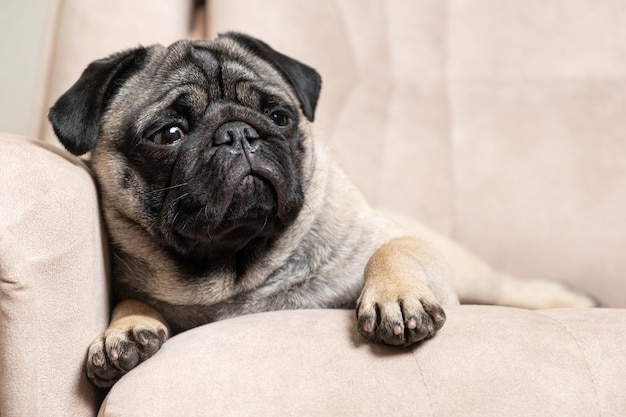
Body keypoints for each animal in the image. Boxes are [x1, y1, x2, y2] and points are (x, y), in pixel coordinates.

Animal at [47, 32, 596, 386]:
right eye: (169, 134)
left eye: (279, 116)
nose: (238, 132)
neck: (240, 271)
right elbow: (129, 302)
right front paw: (123, 330)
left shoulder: (398, 246)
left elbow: (394, 250)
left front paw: (396, 299)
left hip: (476, 274)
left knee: (511, 287)